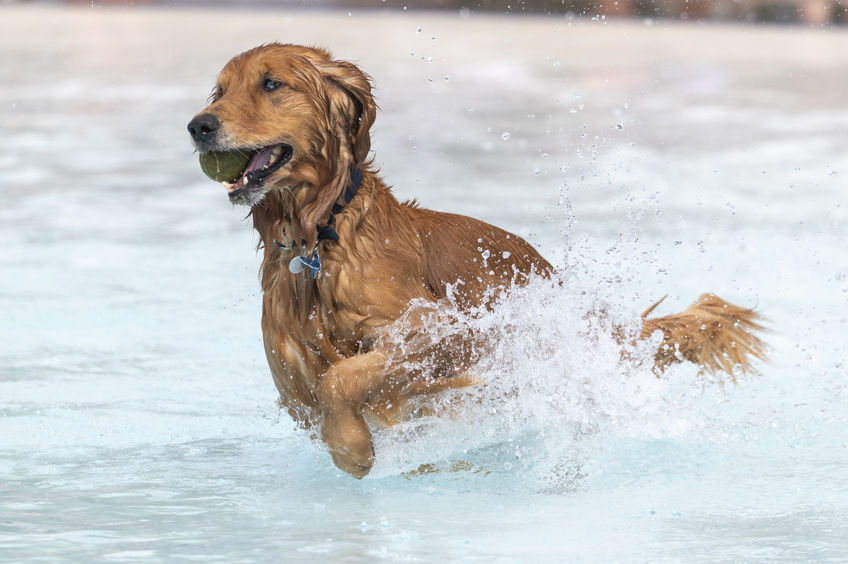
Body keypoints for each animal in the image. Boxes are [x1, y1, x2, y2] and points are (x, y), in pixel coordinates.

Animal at [187, 44, 768, 478]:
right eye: (220, 90)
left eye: (271, 84)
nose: (198, 125)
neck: (318, 239)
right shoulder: (292, 373)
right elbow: (321, 388)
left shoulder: (446, 329)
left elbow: (346, 378)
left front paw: (352, 447)